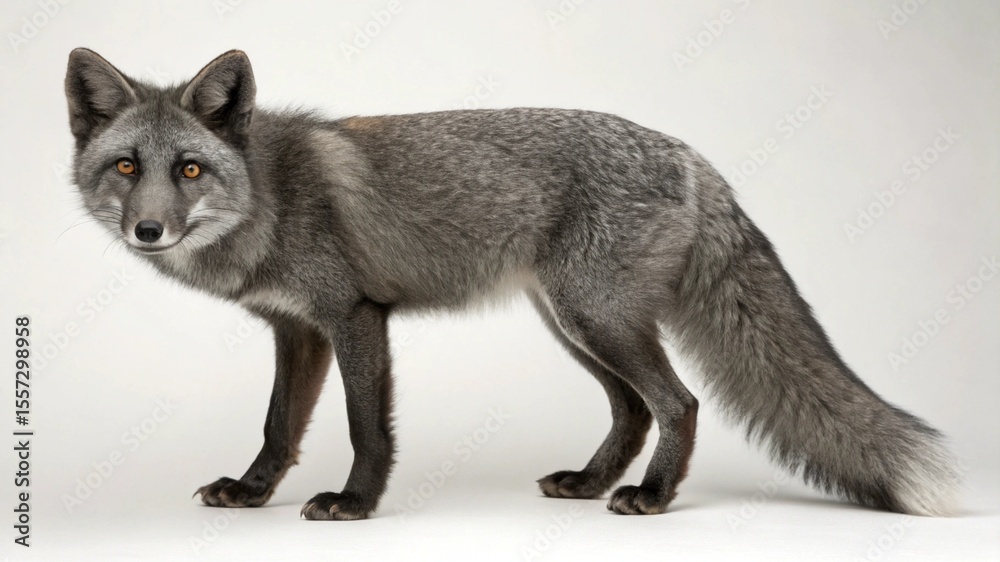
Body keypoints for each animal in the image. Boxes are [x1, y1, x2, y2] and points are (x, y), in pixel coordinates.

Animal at [64, 48, 958, 520]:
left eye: (189, 169)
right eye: (126, 167)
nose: (149, 230)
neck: (269, 196)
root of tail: (689, 154)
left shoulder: (355, 316)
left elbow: (364, 429)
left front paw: (355, 504)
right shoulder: (298, 330)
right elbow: (279, 427)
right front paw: (252, 494)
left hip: (596, 318)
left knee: (678, 403)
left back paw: (651, 495)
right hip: (573, 323)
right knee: (634, 409)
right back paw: (592, 482)